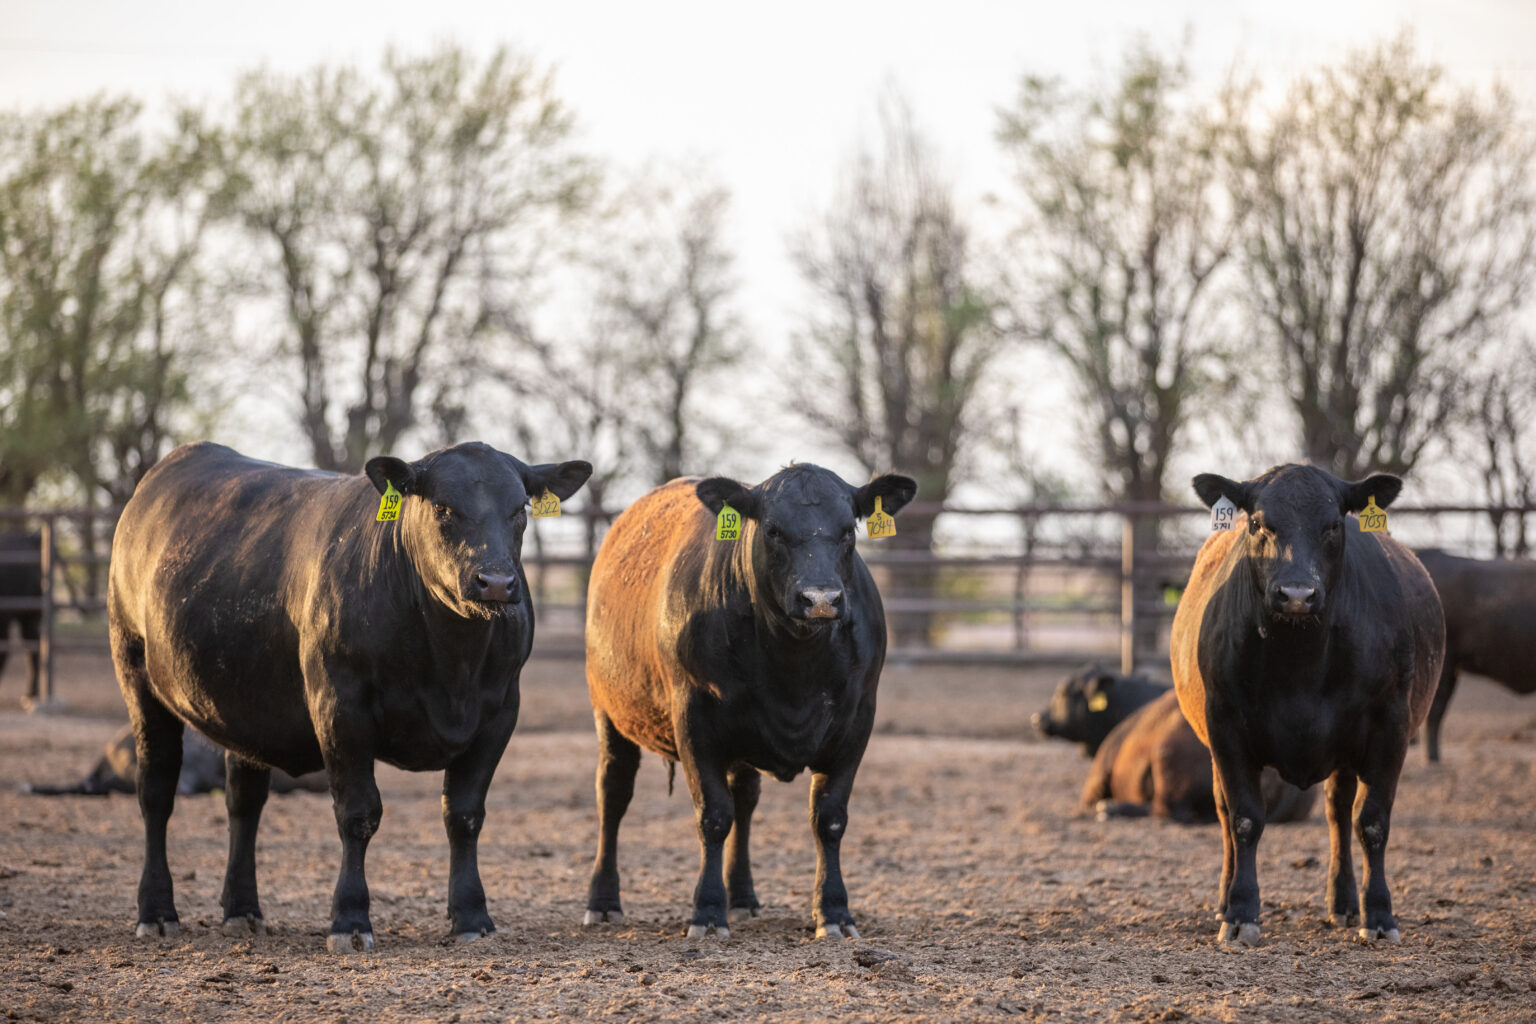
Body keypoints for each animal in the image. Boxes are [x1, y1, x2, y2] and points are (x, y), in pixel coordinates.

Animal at [108, 441, 591, 951]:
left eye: (520, 509)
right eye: (443, 508)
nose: (496, 582)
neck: (450, 661)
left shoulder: (499, 714)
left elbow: (464, 814)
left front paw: (472, 916)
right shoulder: (340, 707)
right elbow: (358, 814)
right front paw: (351, 919)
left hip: (245, 706)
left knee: (244, 800)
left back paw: (242, 910)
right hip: (136, 672)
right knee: (156, 791)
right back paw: (157, 911)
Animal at [581, 465, 916, 939]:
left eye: (848, 529)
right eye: (773, 530)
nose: (821, 599)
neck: (795, 667)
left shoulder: (857, 722)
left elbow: (829, 818)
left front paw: (833, 911)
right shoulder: (694, 721)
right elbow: (713, 815)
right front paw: (706, 911)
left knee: (745, 798)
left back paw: (741, 898)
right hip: (609, 711)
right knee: (613, 793)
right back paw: (604, 902)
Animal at [1172, 464, 1443, 946]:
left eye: (1334, 524)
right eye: (1258, 523)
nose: (1297, 593)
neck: (1299, 662)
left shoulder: (1390, 727)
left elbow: (1372, 822)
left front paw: (1379, 915)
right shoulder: (1225, 727)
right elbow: (1244, 819)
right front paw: (1240, 913)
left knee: (1338, 812)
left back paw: (1344, 903)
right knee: (1224, 814)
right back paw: (1224, 899)